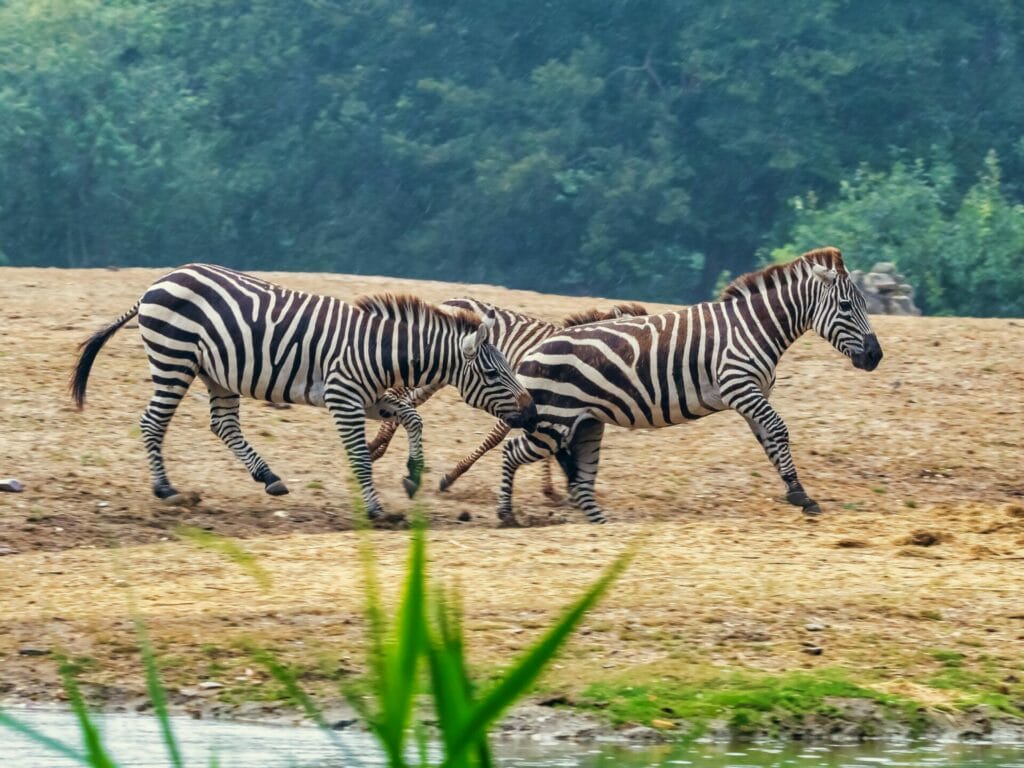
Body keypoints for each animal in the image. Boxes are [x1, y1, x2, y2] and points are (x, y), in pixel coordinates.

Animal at [71, 264, 536, 524]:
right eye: (493, 372)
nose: (532, 411)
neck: (381, 350)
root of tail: (158, 282)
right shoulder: (343, 397)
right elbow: (361, 458)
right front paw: (376, 510)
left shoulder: (368, 397)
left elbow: (412, 417)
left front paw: (412, 474)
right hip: (175, 359)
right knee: (153, 422)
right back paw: (165, 488)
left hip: (217, 373)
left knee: (223, 425)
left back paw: (269, 477)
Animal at [364, 296, 643, 495]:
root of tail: (452, 300)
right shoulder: (520, 401)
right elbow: (494, 439)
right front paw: (451, 476)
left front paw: (550, 487)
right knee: (399, 394)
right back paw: (376, 446)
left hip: (440, 377)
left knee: (406, 400)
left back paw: (377, 446)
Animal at [495, 249, 880, 528]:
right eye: (846, 306)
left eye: (865, 305)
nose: (875, 356)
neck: (755, 327)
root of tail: (532, 350)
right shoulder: (740, 387)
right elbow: (779, 429)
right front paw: (800, 494)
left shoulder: (753, 394)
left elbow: (770, 440)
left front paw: (797, 493)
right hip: (554, 420)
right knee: (512, 451)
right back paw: (506, 515)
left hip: (586, 423)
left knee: (582, 472)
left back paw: (600, 524)